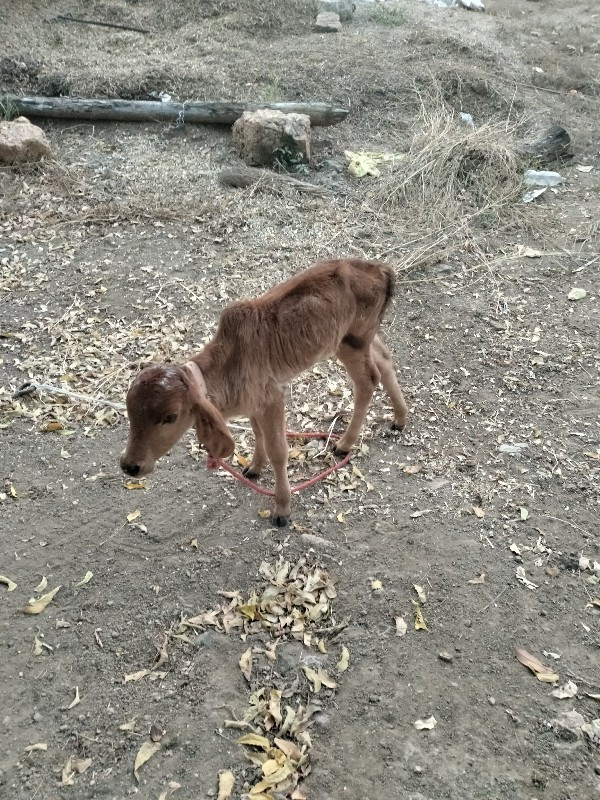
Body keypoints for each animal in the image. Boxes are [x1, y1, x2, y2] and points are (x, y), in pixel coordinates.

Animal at [121, 260, 408, 528]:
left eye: (170, 417)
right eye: (130, 413)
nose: (129, 465)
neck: (231, 363)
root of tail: (381, 269)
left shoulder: (273, 399)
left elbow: (278, 451)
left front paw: (282, 508)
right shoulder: (254, 404)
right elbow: (257, 434)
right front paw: (254, 467)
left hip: (351, 343)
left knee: (368, 381)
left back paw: (345, 443)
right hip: (362, 339)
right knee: (384, 359)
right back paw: (399, 418)